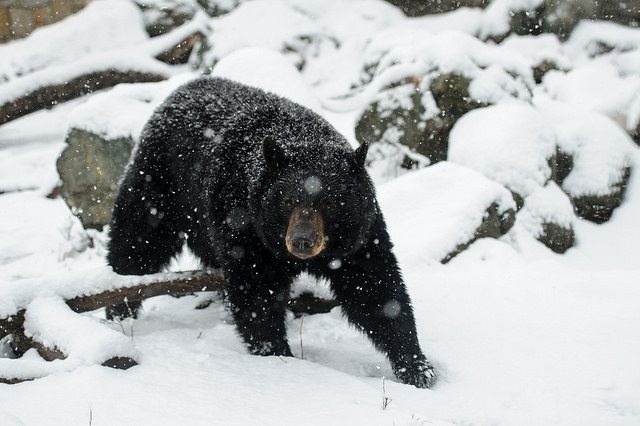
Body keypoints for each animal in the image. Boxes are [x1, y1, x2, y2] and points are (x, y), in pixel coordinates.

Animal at [107, 77, 438, 390]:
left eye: (329, 202)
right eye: (288, 199)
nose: (302, 241)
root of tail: (180, 90)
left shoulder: (359, 233)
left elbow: (376, 288)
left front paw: (417, 366)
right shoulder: (244, 225)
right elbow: (256, 291)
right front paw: (278, 356)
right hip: (159, 186)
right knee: (136, 243)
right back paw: (118, 311)